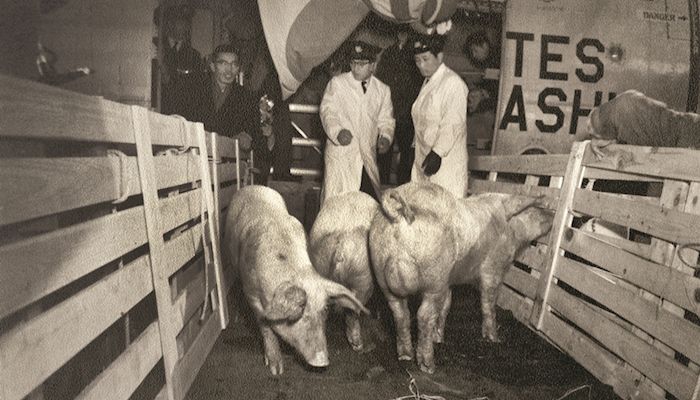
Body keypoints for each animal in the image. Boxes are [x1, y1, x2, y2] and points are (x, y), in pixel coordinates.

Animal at [224, 184, 370, 376]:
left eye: (324, 310)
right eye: (299, 314)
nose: (322, 361)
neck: (298, 273)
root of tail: (253, 186)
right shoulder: (252, 293)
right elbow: (266, 329)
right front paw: (276, 370)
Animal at [370, 183, 556, 374]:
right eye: (534, 209)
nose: (553, 215)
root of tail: (398, 215)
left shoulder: (449, 281)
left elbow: (447, 306)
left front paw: (439, 338)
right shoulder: (493, 269)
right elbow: (488, 304)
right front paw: (494, 339)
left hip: (382, 274)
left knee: (400, 313)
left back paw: (405, 356)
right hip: (434, 279)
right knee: (423, 316)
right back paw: (429, 366)